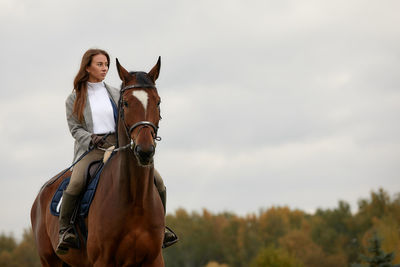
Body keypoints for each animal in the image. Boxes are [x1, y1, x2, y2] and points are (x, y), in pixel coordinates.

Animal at [30, 57, 166, 266]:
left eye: (157, 102)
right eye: (126, 103)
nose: (144, 151)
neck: (136, 200)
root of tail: (40, 195)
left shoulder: (154, 259)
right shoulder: (103, 260)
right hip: (50, 260)